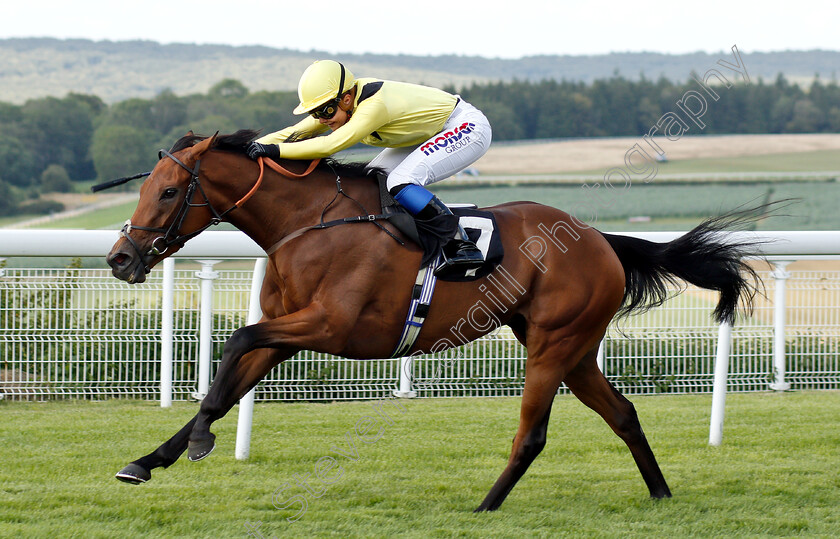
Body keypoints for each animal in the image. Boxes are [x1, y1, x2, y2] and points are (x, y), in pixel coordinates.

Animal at [105, 130, 760, 510]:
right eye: (149, 188)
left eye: (169, 193)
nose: (120, 257)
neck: (307, 222)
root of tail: (600, 239)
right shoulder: (288, 331)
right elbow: (225, 386)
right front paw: (151, 460)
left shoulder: (329, 326)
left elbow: (236, 341)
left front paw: (197, 443)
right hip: (569, 348)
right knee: (622, 414)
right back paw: (661, 494)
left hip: (554, 342)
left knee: (533, 433)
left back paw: (485, 506)